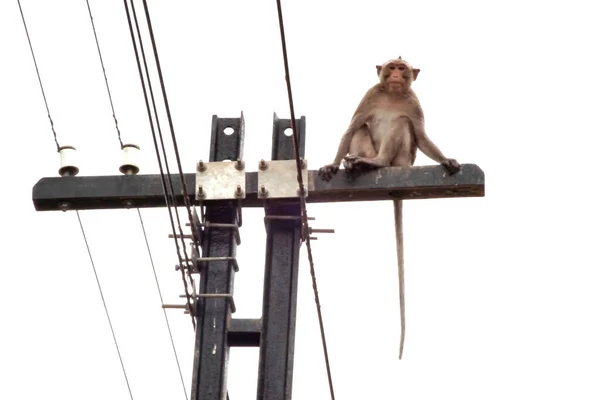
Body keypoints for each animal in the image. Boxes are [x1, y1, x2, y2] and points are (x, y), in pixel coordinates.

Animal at [318, 56, 460, 360]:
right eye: (391, 67)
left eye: (402, 68)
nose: (395, 74)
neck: (393, 95)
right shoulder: (370, 94)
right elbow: (352, 127)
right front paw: (332, 165)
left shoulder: (414, 102)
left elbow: (419, 133)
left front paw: (446, 160)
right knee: (362, 129)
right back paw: (358, 163)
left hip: (403, 160)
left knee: (402, 124)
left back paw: (376, 163)